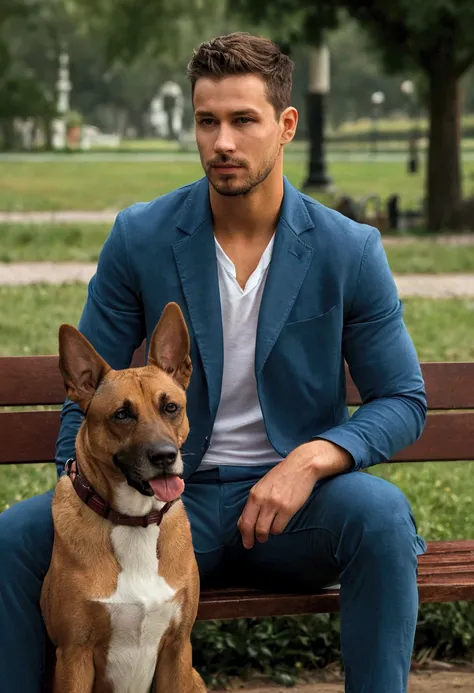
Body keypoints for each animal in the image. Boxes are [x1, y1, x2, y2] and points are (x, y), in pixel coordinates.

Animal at [42, 302, 207, 692]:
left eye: (171, 407)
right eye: (122, 414)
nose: (165, 457)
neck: (135, 521)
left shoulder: (177, 649)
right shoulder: (74, 656)